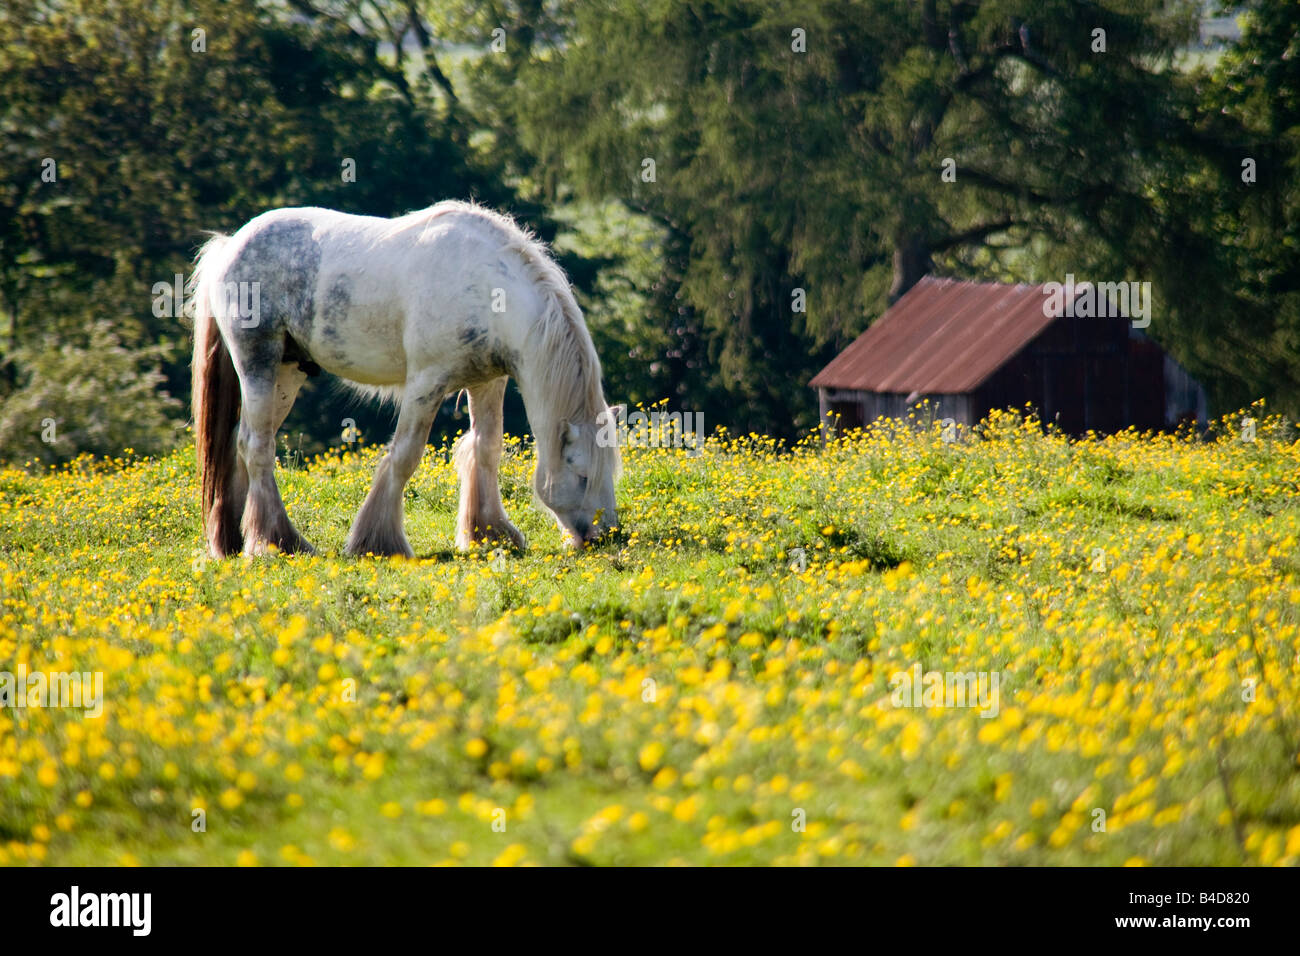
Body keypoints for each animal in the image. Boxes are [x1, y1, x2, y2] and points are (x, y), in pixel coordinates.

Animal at [189, 200, 622, 559]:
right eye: (583, 475)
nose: (605, 536)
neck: (487, 290)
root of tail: (230, 246)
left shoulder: (487, 382)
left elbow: (486, 449)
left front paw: (489, 533)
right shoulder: (426, 384)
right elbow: (405, 456)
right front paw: (378, 541)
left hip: (287, 374)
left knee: (243, 442)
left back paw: (232, 541)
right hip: (258, 362)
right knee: (256, 447)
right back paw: (281, 541)